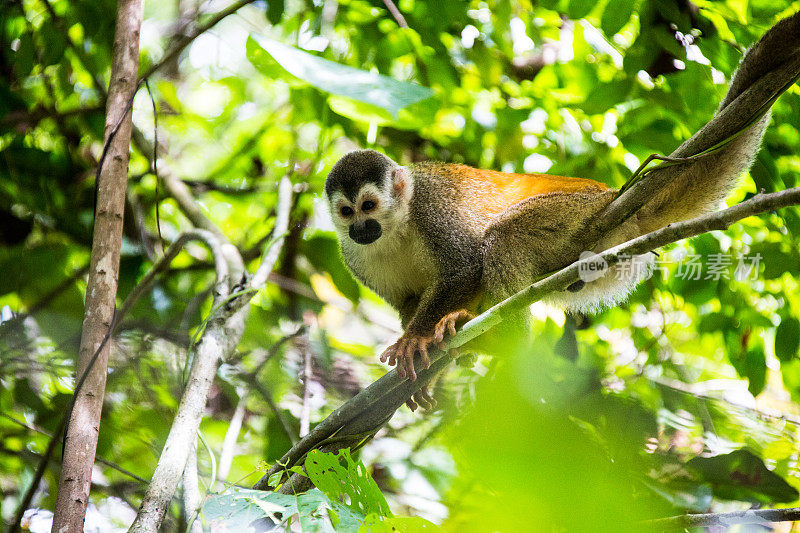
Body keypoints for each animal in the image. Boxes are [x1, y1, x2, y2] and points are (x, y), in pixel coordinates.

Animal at [324, 12, 792, 386]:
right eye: (346, 212)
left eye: (369, 206)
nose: (360, 227)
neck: (396, 227)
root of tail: (615, 197)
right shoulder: (354, 258)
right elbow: (408, 300)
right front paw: (420, 354)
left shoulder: (430, 207)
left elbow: (464, 267)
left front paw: (418, 337)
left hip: (576, 213)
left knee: (503, 239)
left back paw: (500, 339)